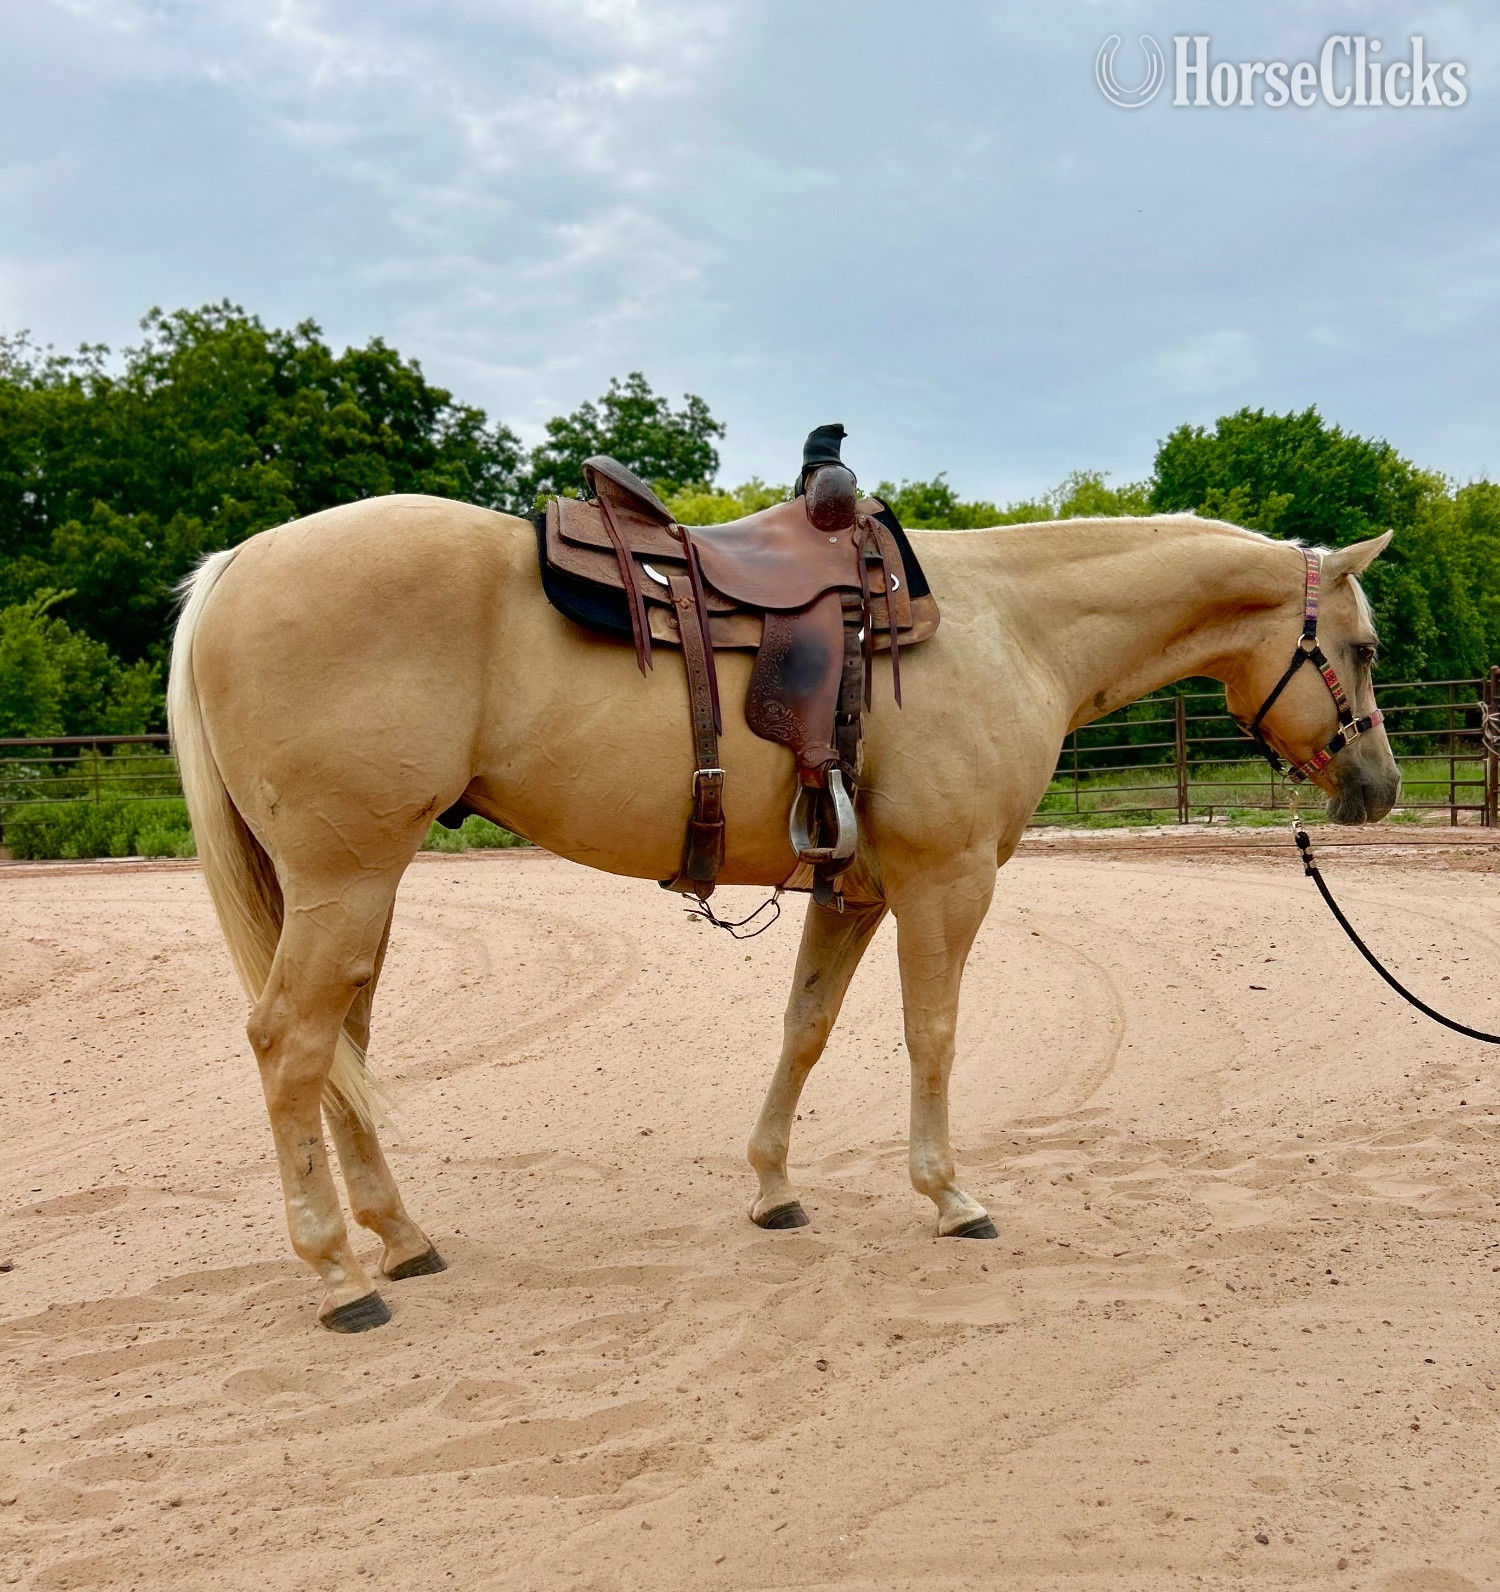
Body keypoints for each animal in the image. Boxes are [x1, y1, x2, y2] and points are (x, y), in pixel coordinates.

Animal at [167, 497, 1400, 1330]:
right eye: (1365, 647)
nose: (1379, 786)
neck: (1010, 627)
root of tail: (237, 565)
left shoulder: (854, 888)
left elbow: (804, 1029)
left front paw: (772, 1189)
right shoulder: (946, 881)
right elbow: (932, 1033)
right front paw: (949, 1195)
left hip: (360, 890)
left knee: (345, 1046)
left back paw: (402, 1238)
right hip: (345, 879)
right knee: (290, 1044)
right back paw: (338, 1275)